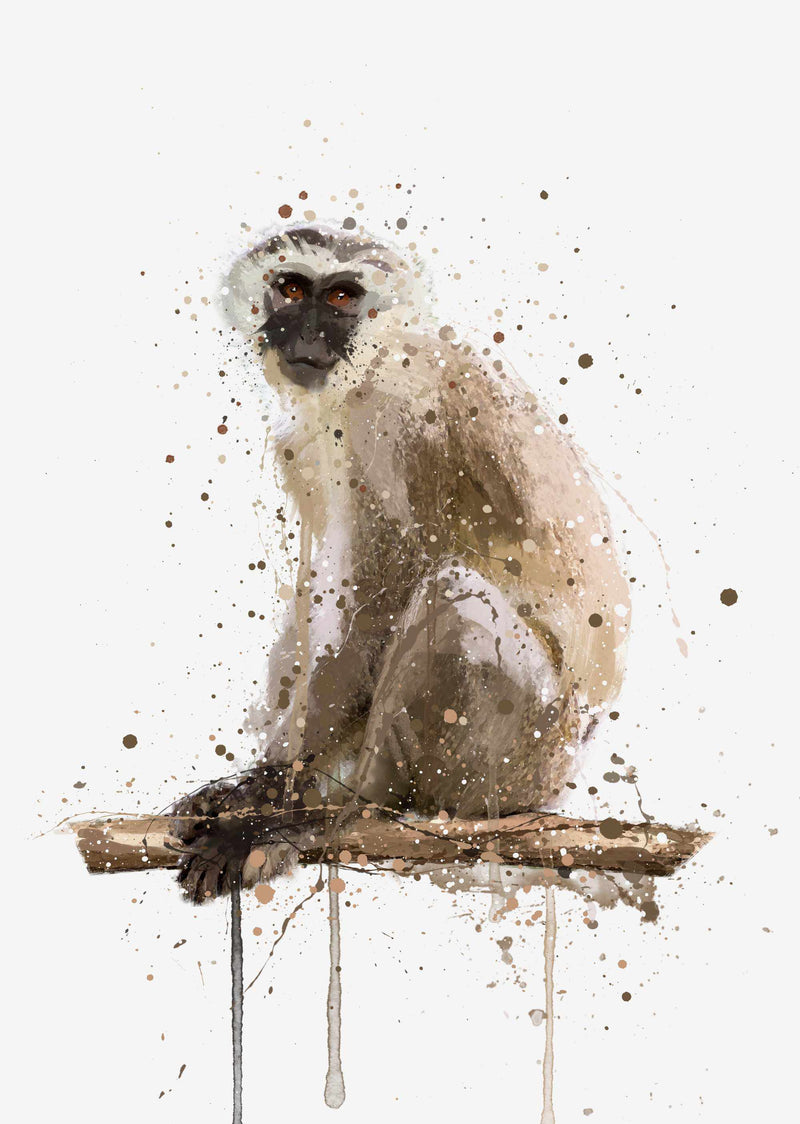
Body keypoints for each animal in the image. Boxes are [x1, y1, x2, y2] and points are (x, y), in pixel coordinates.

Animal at [170, 223, 630, 902]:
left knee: (453, 596)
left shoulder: (392, 419)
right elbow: (317, 598)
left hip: (521, 756)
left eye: (341, 297)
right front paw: (256, 784)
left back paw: (346, 814)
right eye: (291, 289)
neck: (378, 360)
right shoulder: (308, 442)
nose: (305, 333)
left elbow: (375, 612)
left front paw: (273, 808)